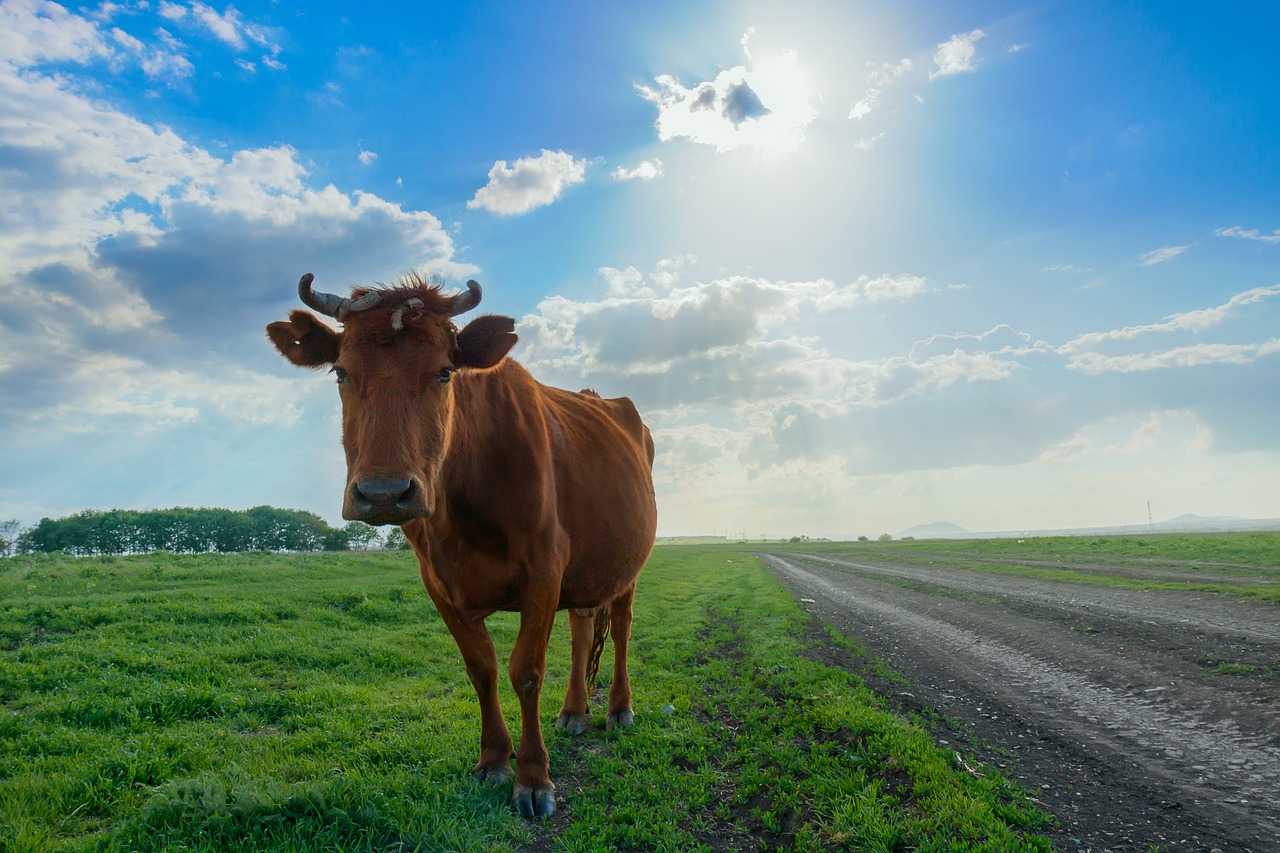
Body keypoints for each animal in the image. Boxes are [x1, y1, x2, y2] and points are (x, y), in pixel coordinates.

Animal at [264, 272, 655, 819]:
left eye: (445, 372)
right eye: (340, 372)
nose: (383, 493)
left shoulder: (544, 570)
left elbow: (525, 672)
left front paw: (533, 778)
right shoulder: (439, 583)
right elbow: (482, 669)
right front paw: (493, 759)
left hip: (628, 567)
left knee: (619, 628)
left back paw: (619, 708)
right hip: (587, 570)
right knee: (582, 629)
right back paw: (575, 711)